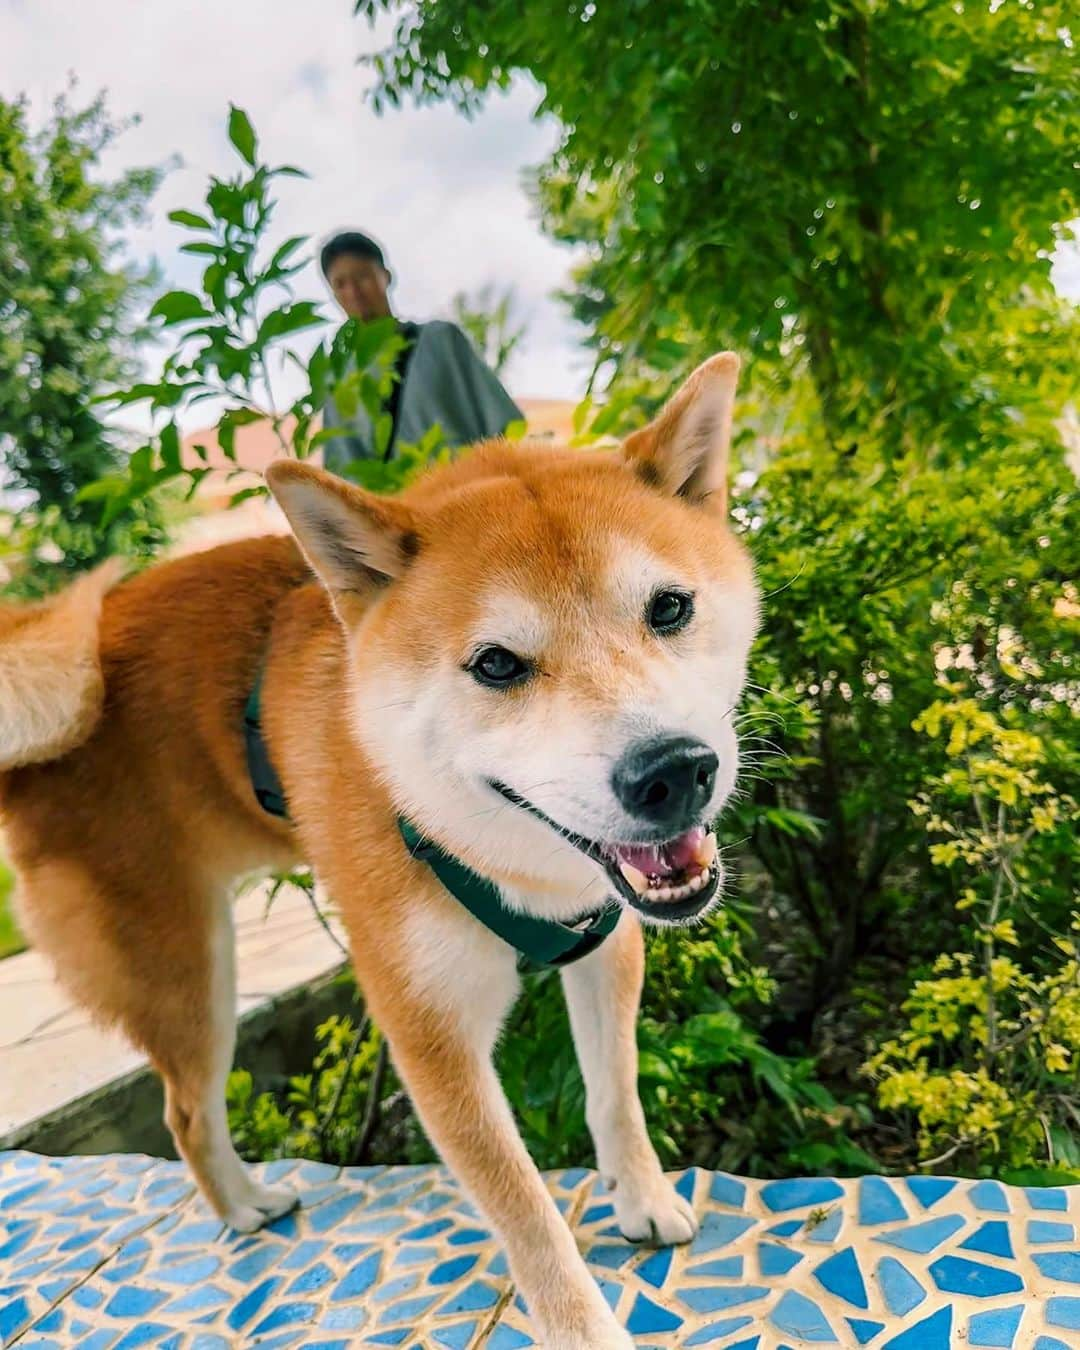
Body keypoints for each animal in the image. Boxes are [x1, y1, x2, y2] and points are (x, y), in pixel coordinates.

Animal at [0, 353, 756, 1344]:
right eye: (497, 665)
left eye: (669, 608)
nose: (672, 772)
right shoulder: (428, 1034)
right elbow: (524, 1211)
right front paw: (583, 1327)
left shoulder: (606, 944)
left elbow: (614, 1091)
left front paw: (642, 1198)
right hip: (189, 970)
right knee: (186, 1110)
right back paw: (245, 1208)